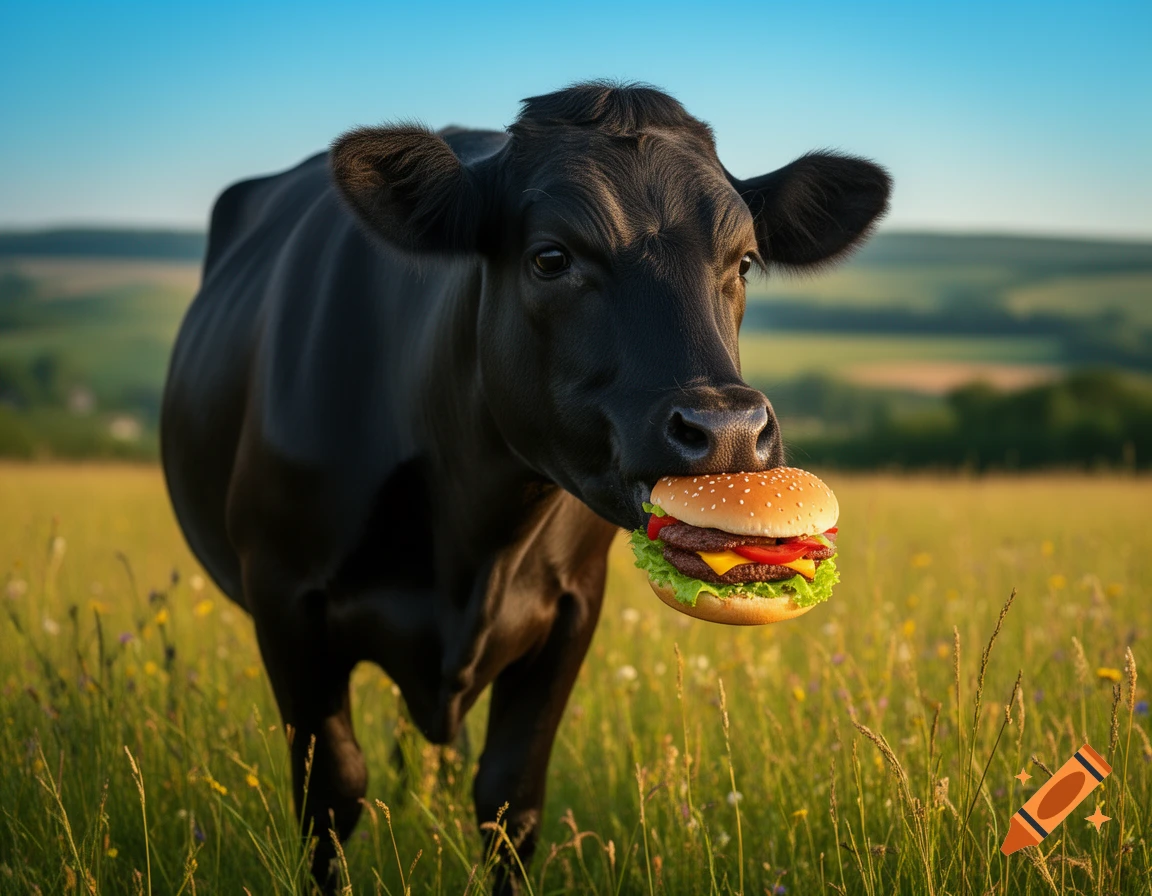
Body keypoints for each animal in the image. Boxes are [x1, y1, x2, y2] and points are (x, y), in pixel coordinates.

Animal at [161, 81, 890, 891]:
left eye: (747, 261)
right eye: (550, 257)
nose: (727, 430)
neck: (474, 532)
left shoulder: (572, 605)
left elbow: (510, 798)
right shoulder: (284, 597)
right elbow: (332, 795)